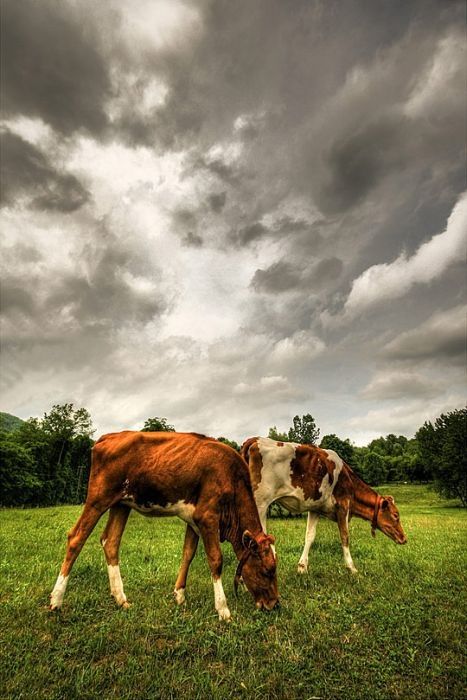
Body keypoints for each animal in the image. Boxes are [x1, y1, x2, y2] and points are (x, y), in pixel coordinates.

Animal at [50, 430, 278, 620]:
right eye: (267, 570)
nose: (275, 604)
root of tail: (109, 436)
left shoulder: (194, 520)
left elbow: (188, 554)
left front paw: (179, 595)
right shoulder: (208, 518)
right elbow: (216, 560)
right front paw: (223, 609)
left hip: (121, 503)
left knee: (110, 542)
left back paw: (121, 599)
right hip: (98, 498)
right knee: (76, 537)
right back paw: (56, 600)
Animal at [239, 438, 408, 576]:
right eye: (396, 515)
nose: (404, 538)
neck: (350, 482)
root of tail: (255, 439)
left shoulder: (315, 508)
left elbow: (310, 536)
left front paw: (302, 567)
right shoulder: (343, 505)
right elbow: (345, 536)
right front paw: (352, 568)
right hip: (260, 501)